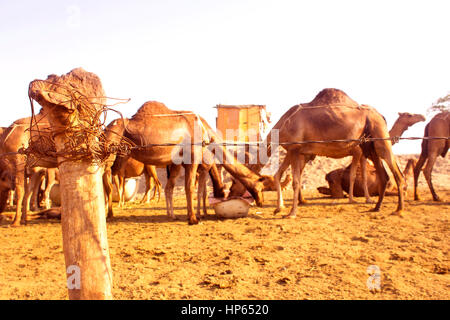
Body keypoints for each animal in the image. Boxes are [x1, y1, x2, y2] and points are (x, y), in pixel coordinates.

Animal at [262, 89, 406, 219]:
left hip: (380, 138)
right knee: (384, 176)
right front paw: (279, 208)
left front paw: (291, 213)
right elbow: (279, 175)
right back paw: (376, 207)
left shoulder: (295, 149)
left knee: (397, 174)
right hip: (370, 145)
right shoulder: (294, 151)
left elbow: (295, 181)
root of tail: (380, 116)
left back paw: (398, 210)